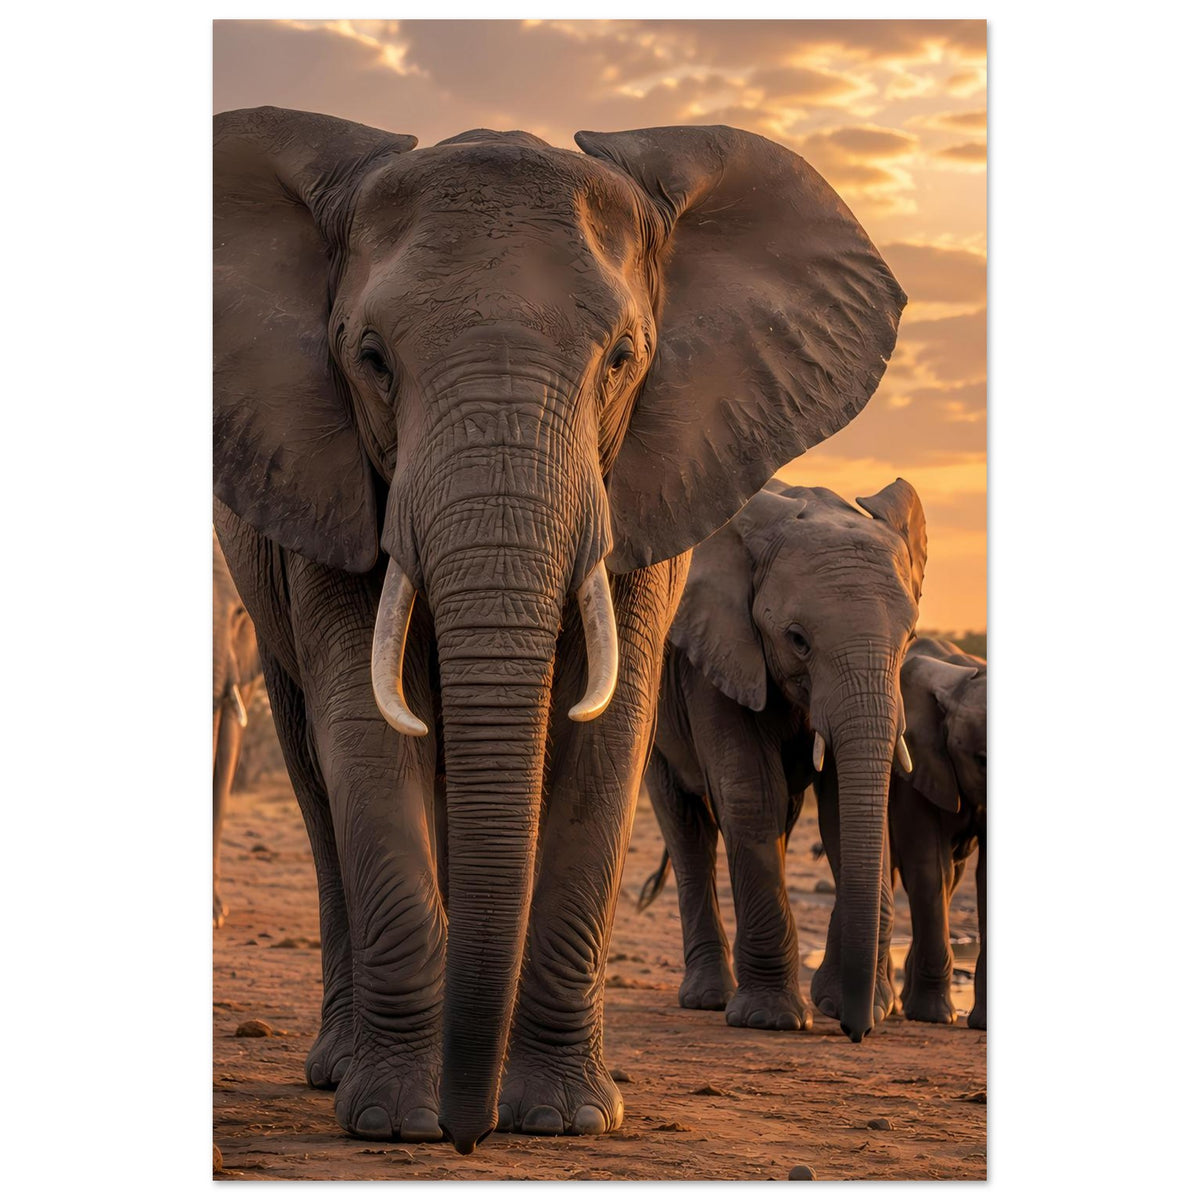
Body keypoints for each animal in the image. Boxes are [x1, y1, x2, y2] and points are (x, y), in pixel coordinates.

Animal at [641, 479, 926, 1041]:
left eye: (908, 638)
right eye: (797, 640)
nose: (857, 1033)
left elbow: (842, 807)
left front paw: (854, 1005)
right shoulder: (715, 657)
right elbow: (750, 794)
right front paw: (768, 1020)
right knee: (687, 826)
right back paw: (708, 999)